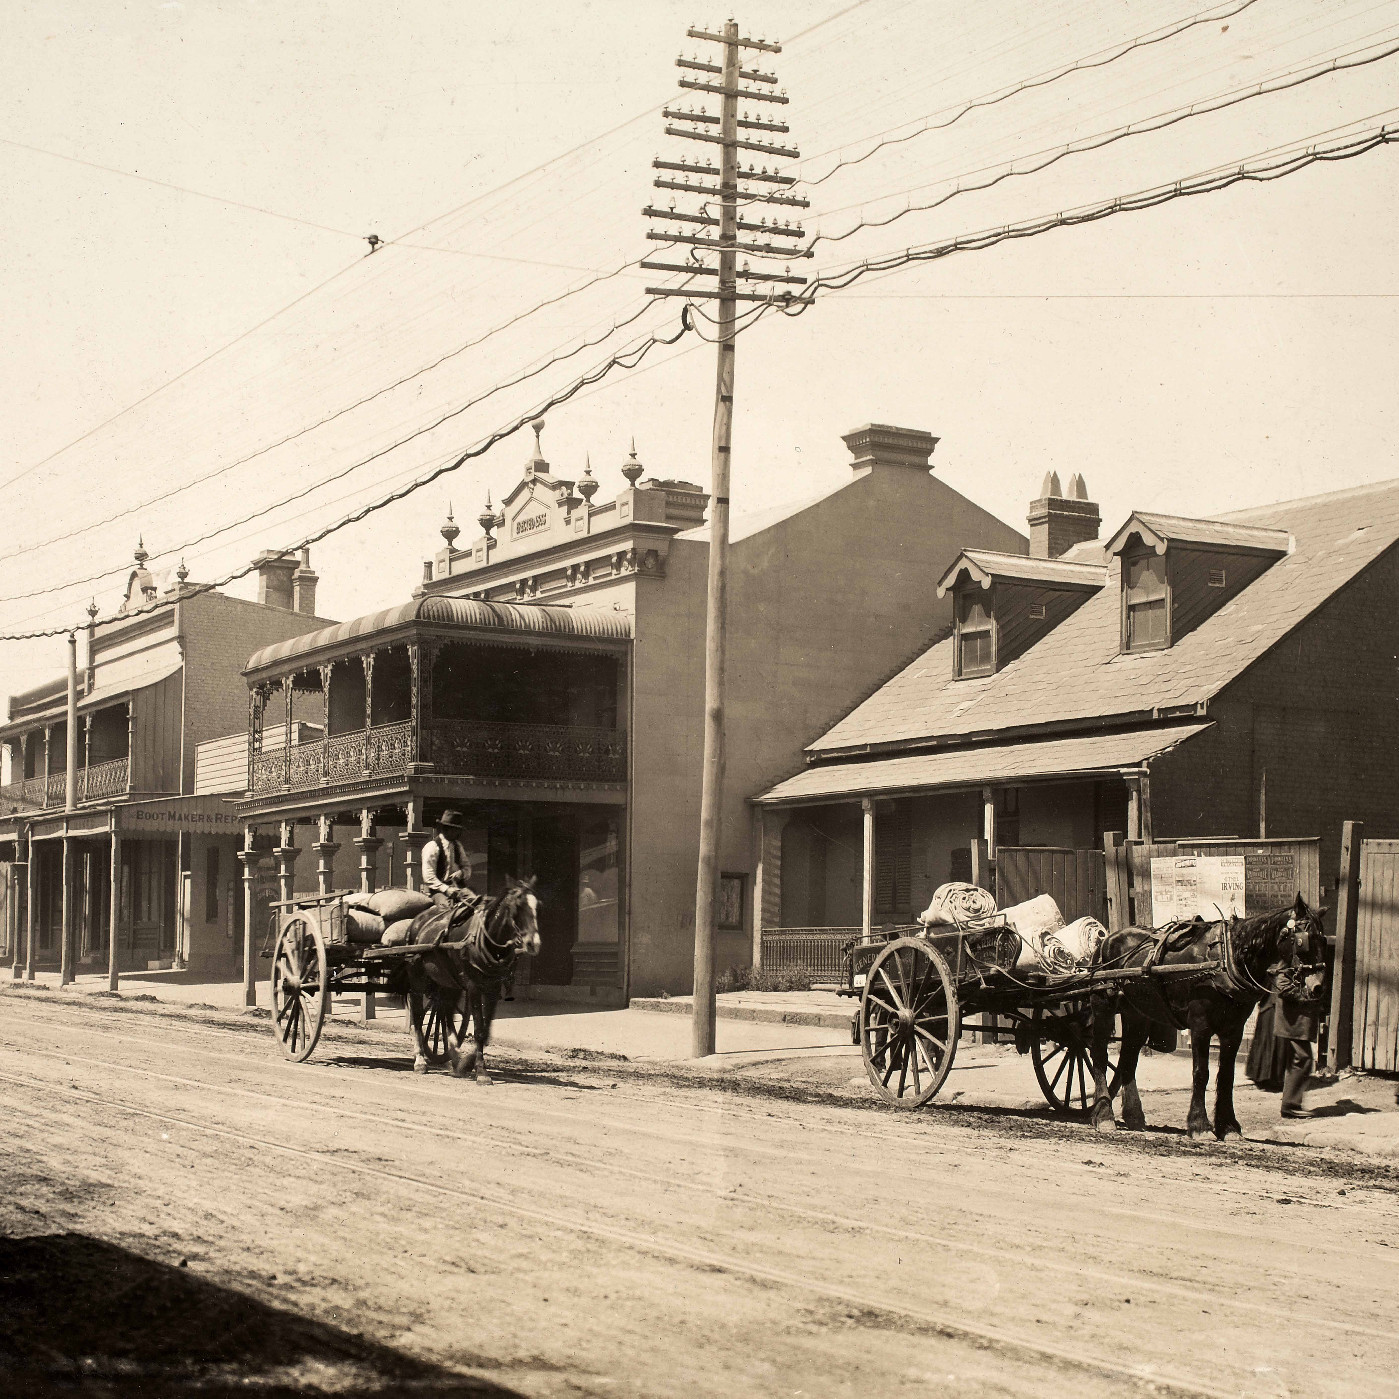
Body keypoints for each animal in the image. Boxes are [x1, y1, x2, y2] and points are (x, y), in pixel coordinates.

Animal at [405, 878, 540, 1085]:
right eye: (517, 907)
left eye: (537, 906)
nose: (534, 943)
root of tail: (417, 920)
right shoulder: (474, 987)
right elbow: (478, 1029)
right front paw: (481, 1071)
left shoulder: (493, 988)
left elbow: (484, 1030)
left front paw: (468, 1064)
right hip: (417, 977)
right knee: (418, 1015)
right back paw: (420, 1060)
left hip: (447, 981)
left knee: (445, 1011)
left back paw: (454, 1055)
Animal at [1085, 900, 1326, 1141]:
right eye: (1303, 940)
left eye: (1323, 939)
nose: (1317, 988)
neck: (1225, 959)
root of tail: (1107, 939)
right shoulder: (1200, 1026)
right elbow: (1201, 1073)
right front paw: (1199, 1125)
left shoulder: (1233, 1030)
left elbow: (1227, 1076)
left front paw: (1228, 1127)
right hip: (1103, 1006)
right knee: (1099, 1055)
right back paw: (1104, 1114)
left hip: (1138, 1015)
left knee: (1128, 1059)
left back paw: (1133, 1116)